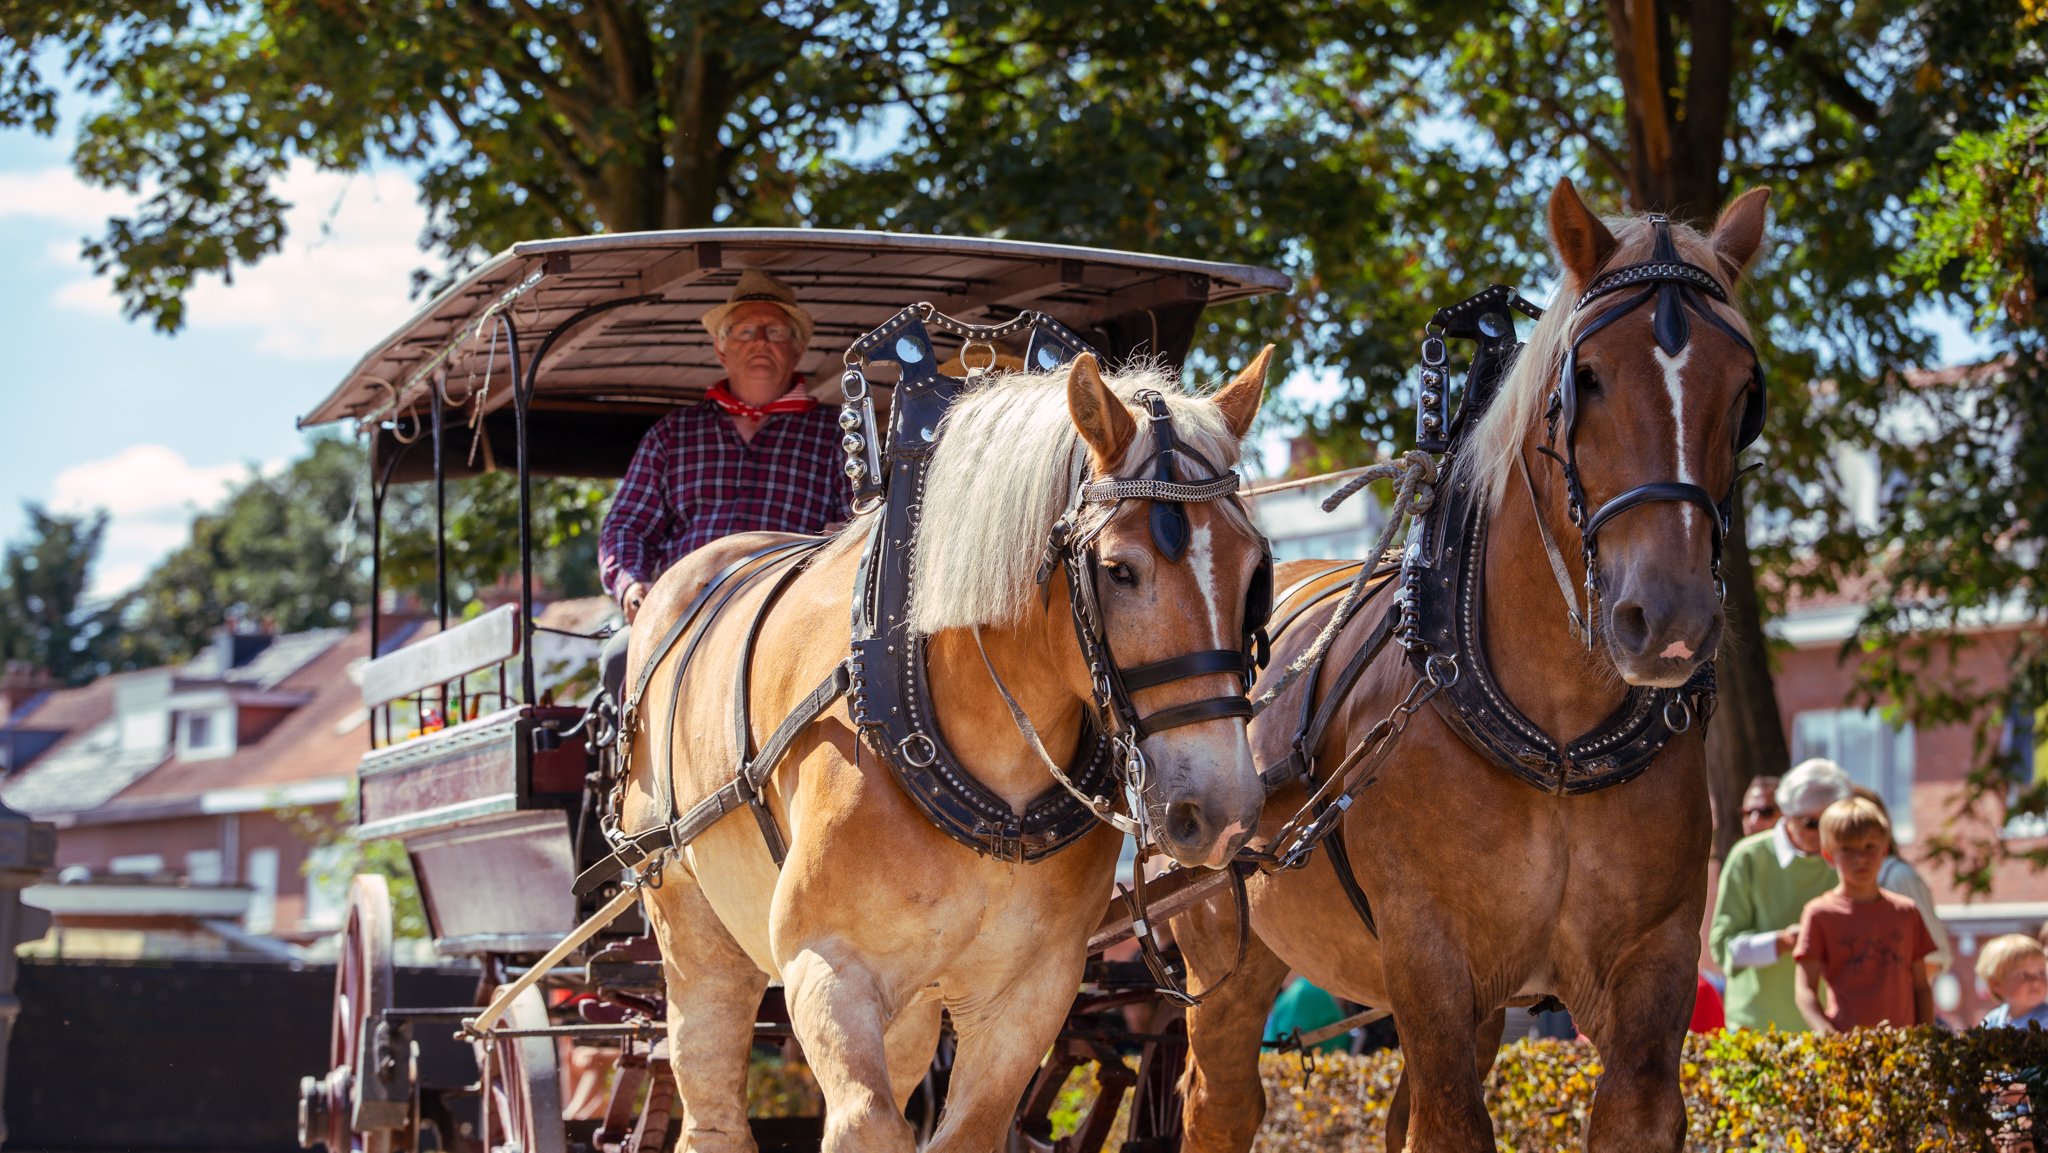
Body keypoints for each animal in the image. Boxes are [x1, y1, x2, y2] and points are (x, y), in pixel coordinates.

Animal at [620, 349, 1275, 1153]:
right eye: (1121, 570)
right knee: (711, 1102)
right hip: (693, 929)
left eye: (1254, 572)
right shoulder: (825, 964)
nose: (1220, 809)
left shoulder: (1029, 992)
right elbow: (867, 1124)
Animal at [1174, 180, 1773, 1153]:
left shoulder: (1652, 966)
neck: (1555, 738)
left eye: (1745, 390)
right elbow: (1448, 1123)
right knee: (1220, 1101)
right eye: (1588, 377)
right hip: (1223, 950)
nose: (1672, 619)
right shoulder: (1429, 959)